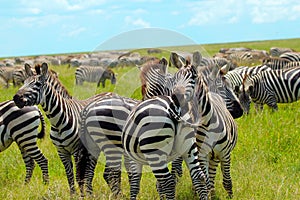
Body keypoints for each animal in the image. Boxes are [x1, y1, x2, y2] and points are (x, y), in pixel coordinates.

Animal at [12, 63, 107, 197]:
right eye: (24, 82)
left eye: (38, 84)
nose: (16, 98)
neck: (58, 122)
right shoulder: (61, 151)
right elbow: (69, 175)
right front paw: (73, 195)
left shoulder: (77, 151)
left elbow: (78, 176)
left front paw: (82, 195)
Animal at [122, 63, 209, 200]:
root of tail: (175, 108)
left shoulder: (133, 158)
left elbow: (135, 183)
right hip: (188, 147)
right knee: (198, 176)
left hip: (154, 150)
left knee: (168, 182)